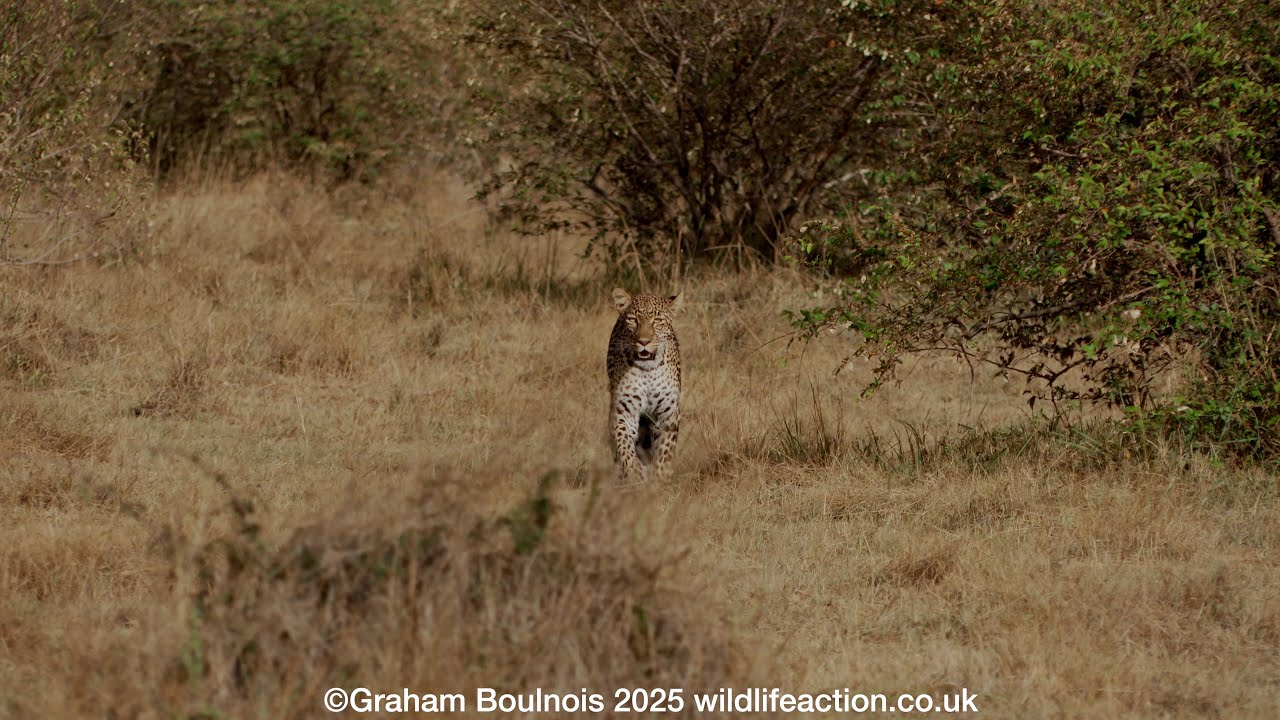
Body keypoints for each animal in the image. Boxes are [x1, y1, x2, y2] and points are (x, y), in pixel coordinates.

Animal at [606, 288, 683, 484]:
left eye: (657, 320)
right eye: (633, 320)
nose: (644, 341)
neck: (648, 370)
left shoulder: (668, 412)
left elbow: (665, 450)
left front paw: (660, 477)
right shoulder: (624, 411)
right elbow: (623, 444)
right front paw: (635, 472)